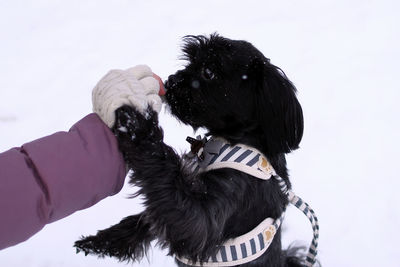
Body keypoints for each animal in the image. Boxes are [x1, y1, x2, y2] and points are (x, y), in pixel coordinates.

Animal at [75, 34, 304, 266]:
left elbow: (174, 194)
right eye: (191, 61)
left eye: (208, 72)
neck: (237, 141)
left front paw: (138, 125)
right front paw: (104, 241)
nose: (170, 81)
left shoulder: (219, 205)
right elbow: (152, 212)